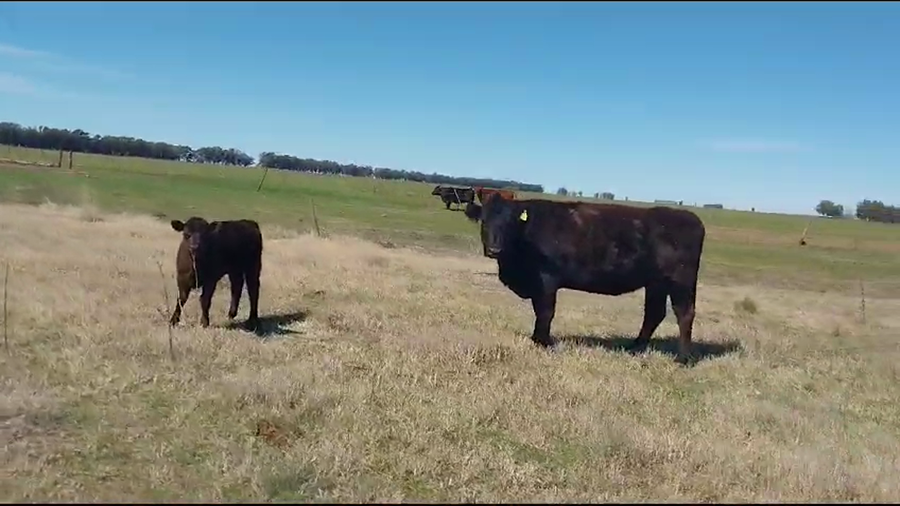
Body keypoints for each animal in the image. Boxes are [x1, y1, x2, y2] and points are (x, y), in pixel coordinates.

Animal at [464, 194, 706, 365]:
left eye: (509, 224)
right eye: (484, 222)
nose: (494, 249)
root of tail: (690, 218)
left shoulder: (547, 280)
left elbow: (545, 312)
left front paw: (544, 342)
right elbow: (539, 311)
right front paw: (536, 339)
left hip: (680, 281)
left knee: (684, 313)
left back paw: (683, 359)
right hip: (656, 283)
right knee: (654, 313)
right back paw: (635, 348)